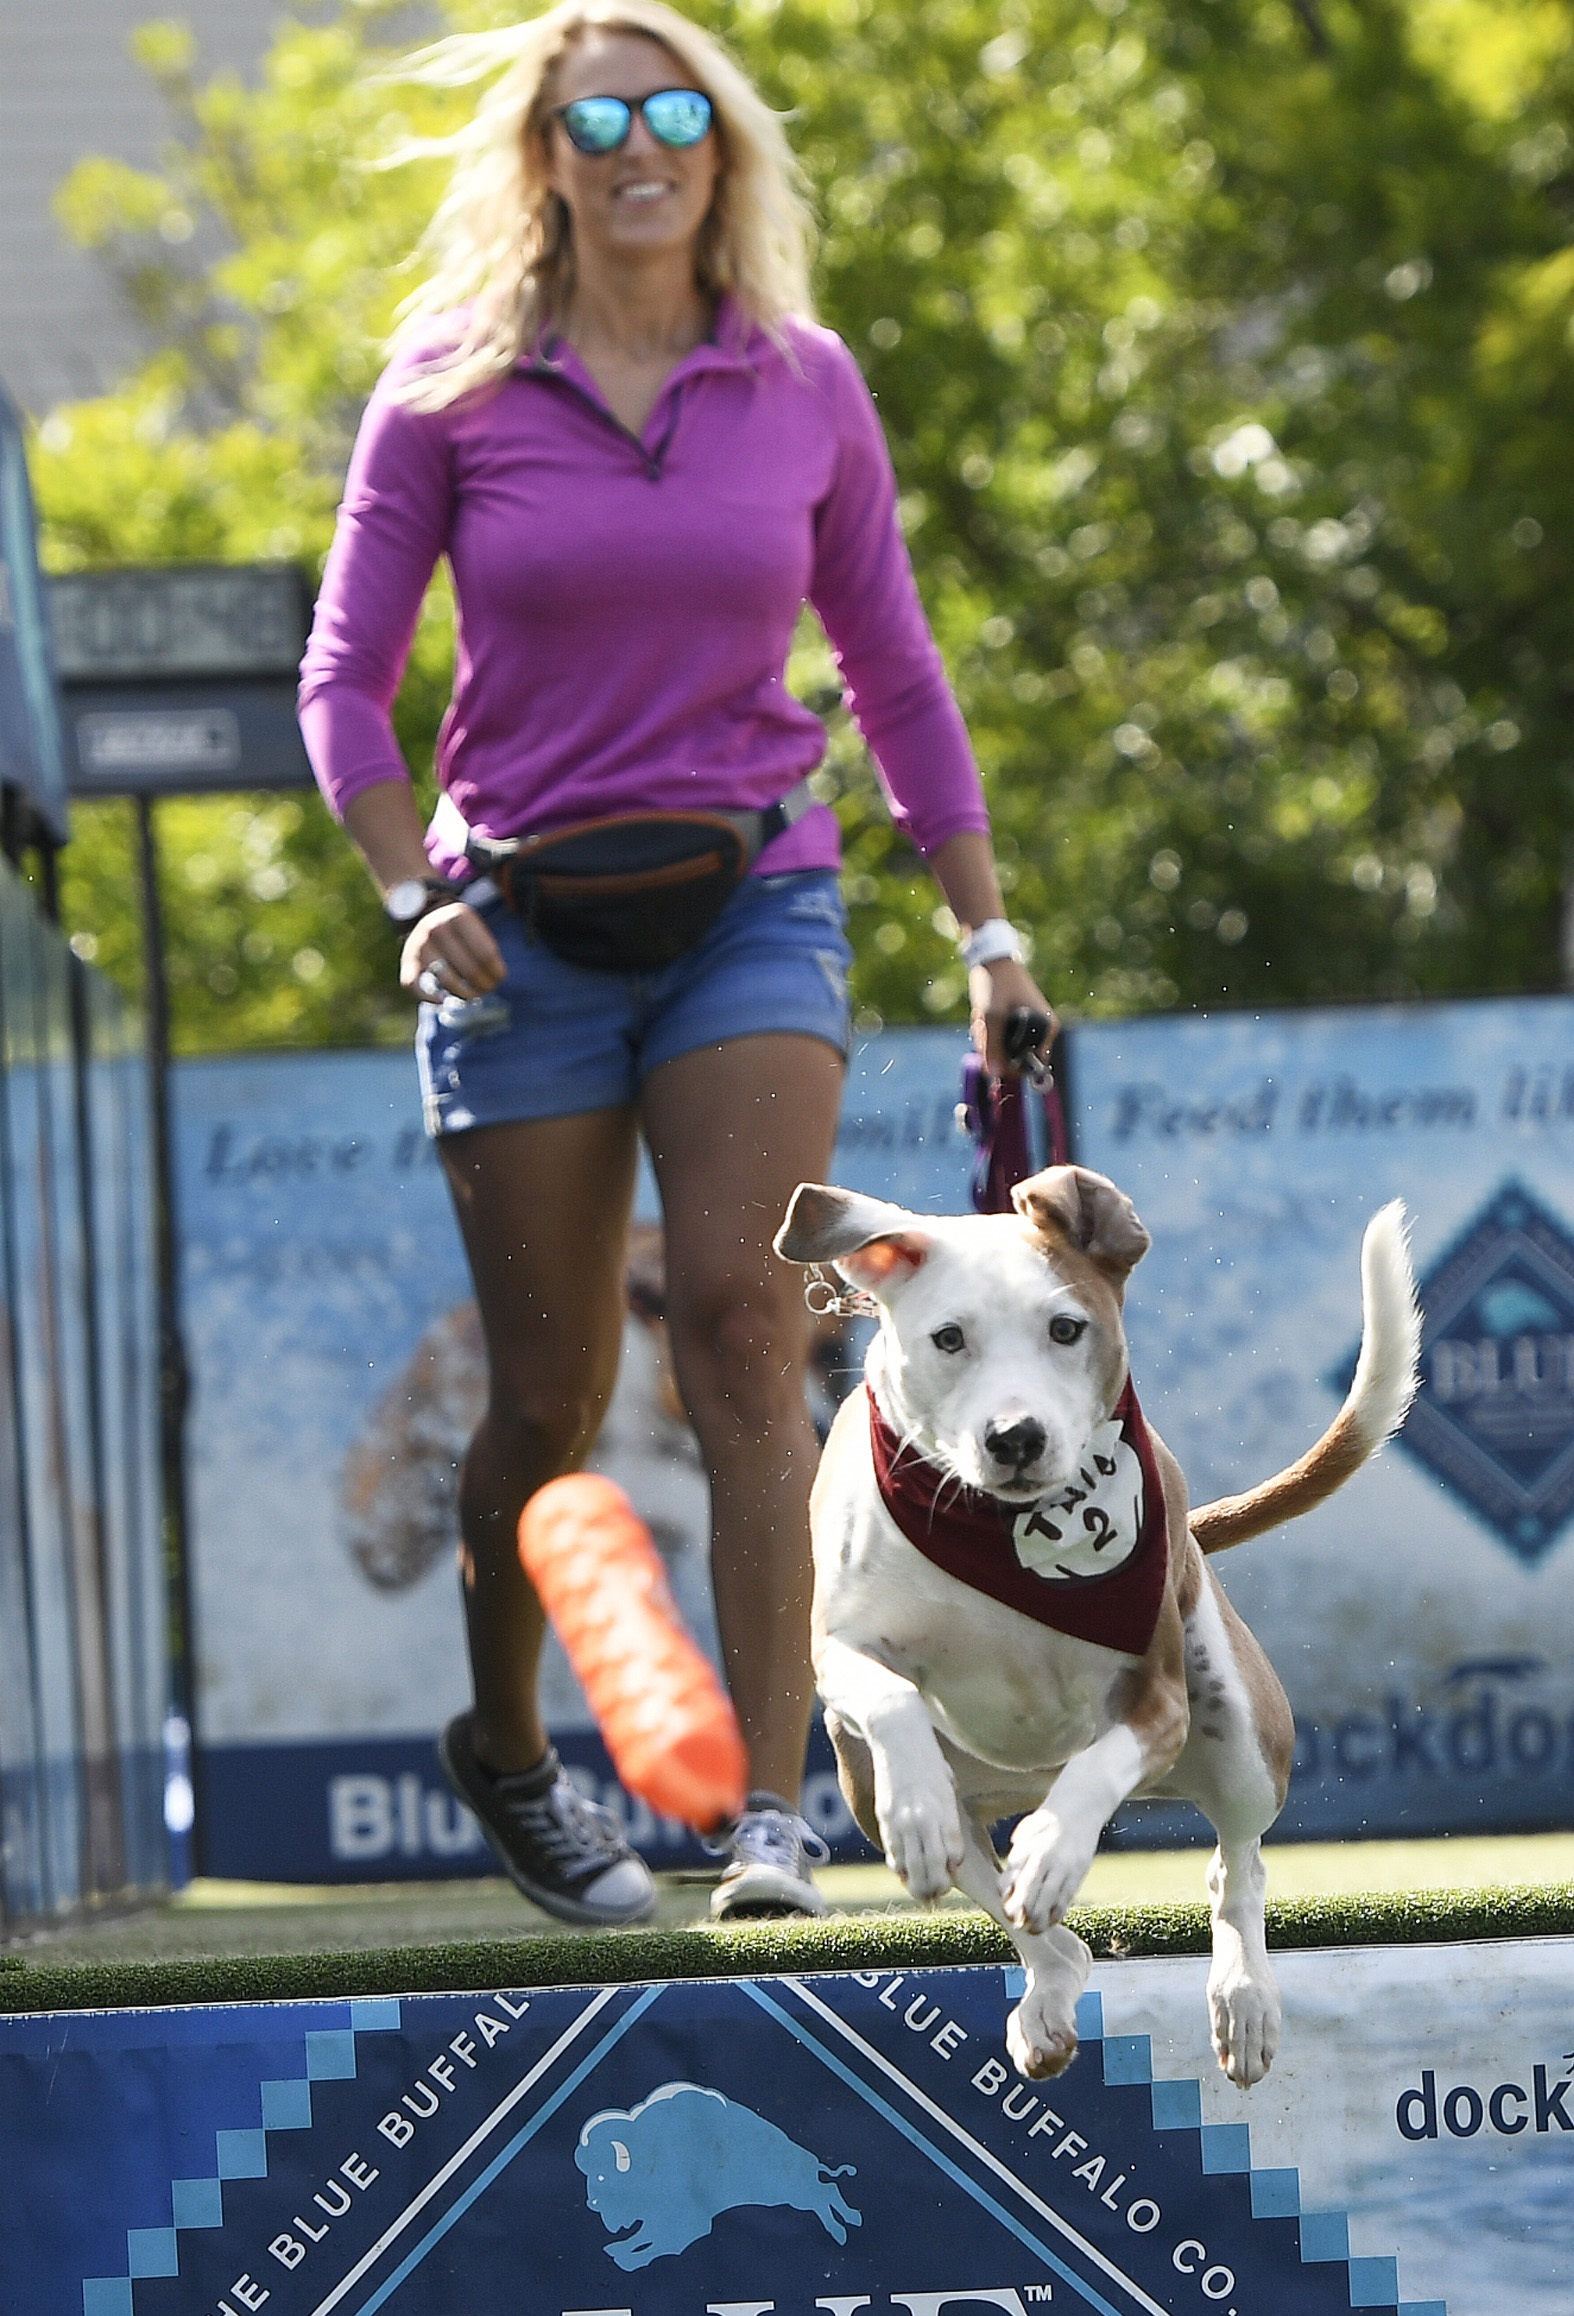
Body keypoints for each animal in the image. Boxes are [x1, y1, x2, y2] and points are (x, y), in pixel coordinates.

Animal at [768, 1167, 1416, 2093]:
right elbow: (890, 1698)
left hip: (1242, 1734)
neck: (1000, 1532)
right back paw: (1042, 1994)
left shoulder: (1159, 1697)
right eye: (948, 1338)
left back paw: (1243, 1997)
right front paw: (919, 1811)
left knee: (1237, 1863)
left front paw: (1052, 1851)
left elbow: (1098, 1772)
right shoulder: (840, 1654)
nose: (1015, 1436)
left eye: (1065, 1327)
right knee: (1034, 1928)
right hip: (863, 1781)